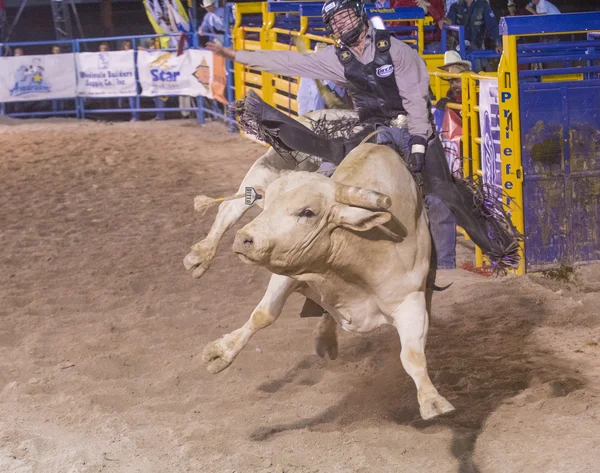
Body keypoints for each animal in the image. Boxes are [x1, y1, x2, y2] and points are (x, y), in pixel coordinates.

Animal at [202, 142, 454, 418]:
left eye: (307, 212)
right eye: (267, 204)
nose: (244, 239)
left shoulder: (411, 299)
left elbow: (412, 355)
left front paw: (432, 399)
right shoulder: (291, 268)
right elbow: (263, 314)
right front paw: (221, 353)